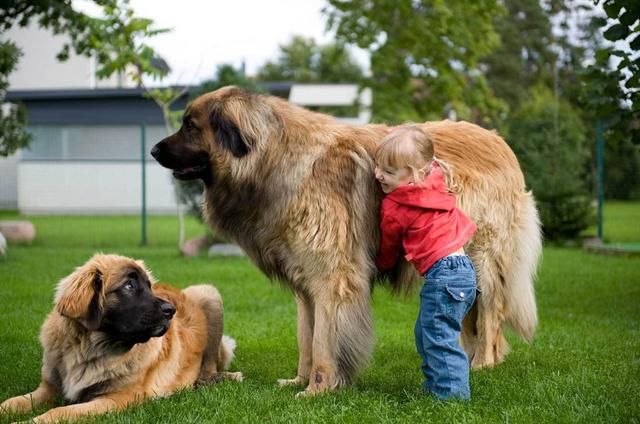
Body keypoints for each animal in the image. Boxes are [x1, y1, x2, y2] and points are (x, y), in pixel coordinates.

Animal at [0, 253, 240, 422]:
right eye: (129, 286)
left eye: (149, 287)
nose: (171, 310)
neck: (88, 348)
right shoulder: (48, 389)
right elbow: (11, 402)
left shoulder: (114, 399)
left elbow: (58, 412)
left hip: (208, 293)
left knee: (208, 369)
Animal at [152, 84, 544, 396]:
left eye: (190, 125)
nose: (154, 151)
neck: (274, 159)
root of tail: (499, 141)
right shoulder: (306, 284)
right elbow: (306, 338)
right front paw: (299, 380)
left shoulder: (333, 278)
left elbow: (325, 341)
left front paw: (319, 389)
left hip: (481, 259)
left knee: (490, 313)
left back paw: (483, 363)